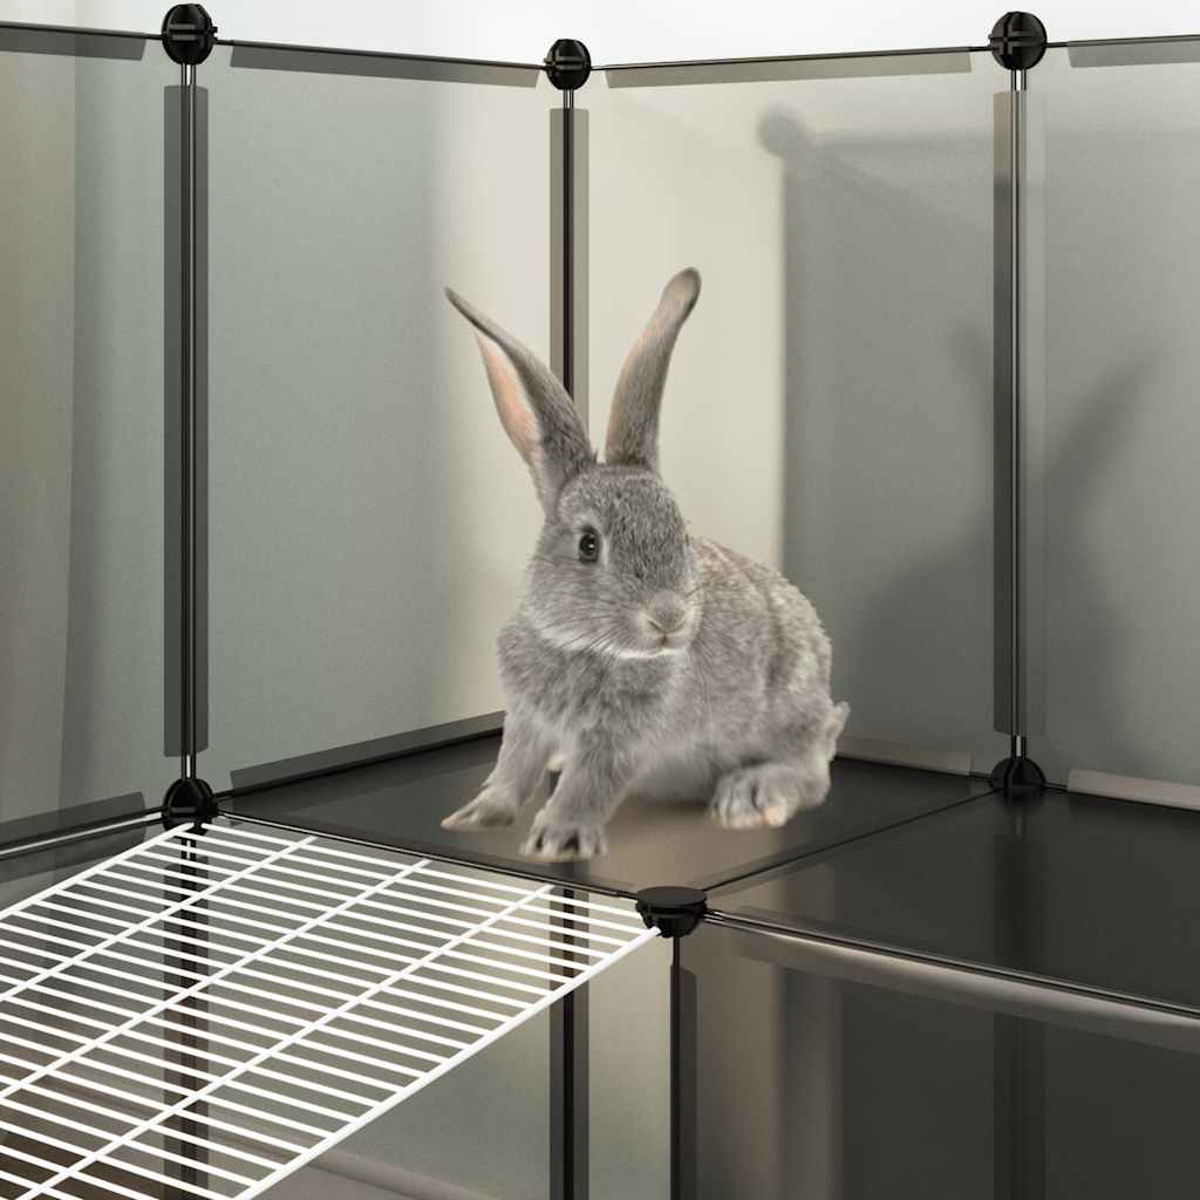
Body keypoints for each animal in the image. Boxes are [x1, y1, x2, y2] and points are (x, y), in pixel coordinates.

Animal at [441, 267, 849, 861]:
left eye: (680, 534)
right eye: (589, 545)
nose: (669, 617)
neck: (583, 646)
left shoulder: (623, 738)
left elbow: (589, 782)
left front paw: (558, 839)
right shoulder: (526, 720)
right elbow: (512, 769)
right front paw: (473, 816)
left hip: (789, 708)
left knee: (812, 772)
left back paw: (748, 798)